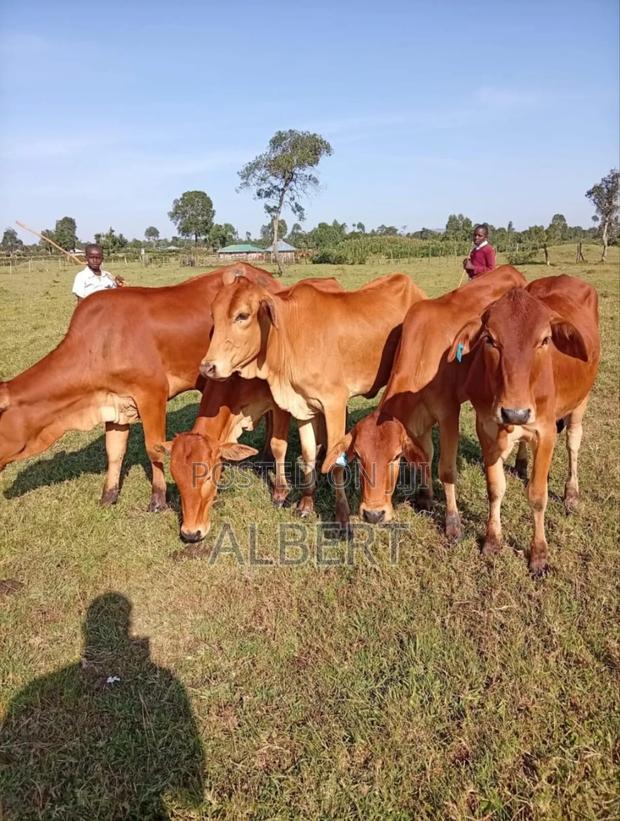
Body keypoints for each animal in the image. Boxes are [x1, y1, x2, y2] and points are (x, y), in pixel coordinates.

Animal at [0, 263, 286, 512]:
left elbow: (154, 448)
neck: (100, 343)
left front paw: (158, 499)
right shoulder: (115, 403)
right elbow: (114, 452)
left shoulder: (152, 395)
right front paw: (108, 496)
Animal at [200, 271, 427, 530]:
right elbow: (308, 453)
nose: (207, 367)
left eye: (242, 315)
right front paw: (306, 502)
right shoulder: (303, 407)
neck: (290, 336)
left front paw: (342, 516)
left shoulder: (334, 405)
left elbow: (337, 461)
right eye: (214, 315)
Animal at [322, 265, 528, 538]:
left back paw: (523, 463)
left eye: (396, 457)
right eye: (357, 456)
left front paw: (452, 523)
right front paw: (426, 497)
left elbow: (446, 469)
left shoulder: (448, 413)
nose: (373, 514)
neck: (423, 358)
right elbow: (425, 456)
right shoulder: (418, 420)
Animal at [448, 274, 600, 575]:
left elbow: (538, 495)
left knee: (573, 444)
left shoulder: (546, 431)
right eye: (490, 339)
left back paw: (571, 493)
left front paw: (539, 554)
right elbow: (495, 487)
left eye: (545, 340)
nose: (515, 413)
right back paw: (520, 462)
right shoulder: (486, 427)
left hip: (581, 401)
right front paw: (492, 540)